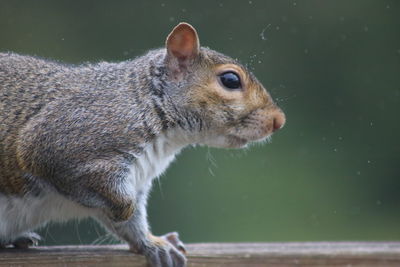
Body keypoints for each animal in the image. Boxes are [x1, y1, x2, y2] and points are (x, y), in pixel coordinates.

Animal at [1, 23, 286, 267]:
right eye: (230, 80)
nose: (278, 121)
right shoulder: (60, 142)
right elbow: (116, 203)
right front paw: (123, 212)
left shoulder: (136, 179)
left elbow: (133, 224)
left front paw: (154, 244)